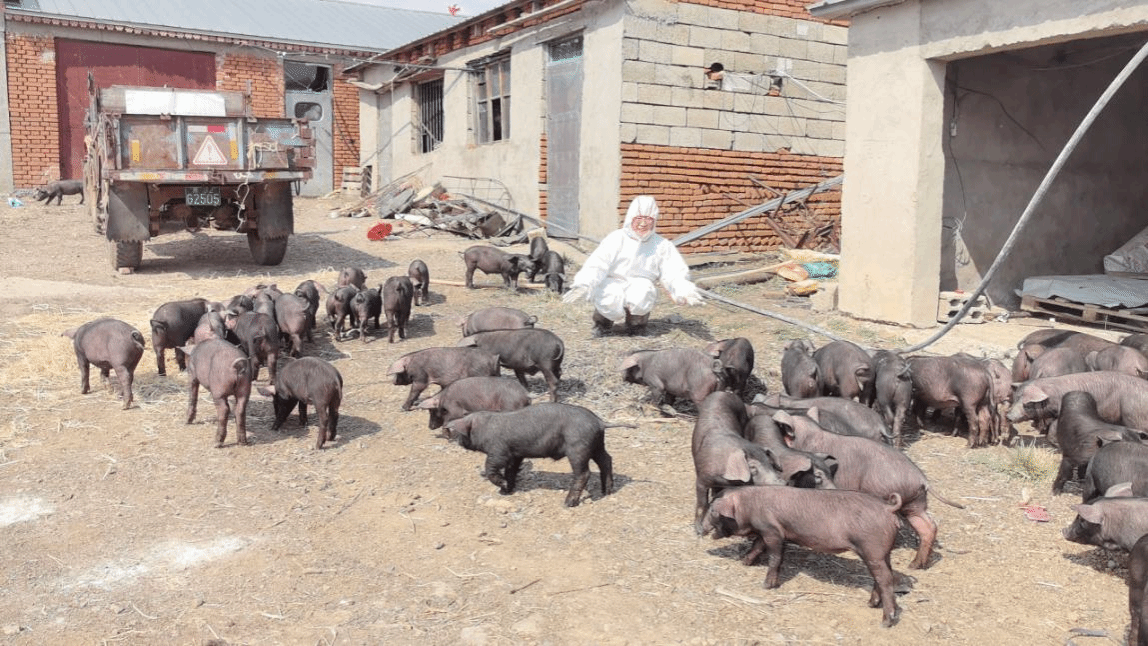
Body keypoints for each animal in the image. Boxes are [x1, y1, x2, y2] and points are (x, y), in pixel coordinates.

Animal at [443, 402, 621, 507]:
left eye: (461, 432)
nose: (457, 441)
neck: (483, 427)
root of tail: (599, 421)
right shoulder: (516, 455)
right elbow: (511, 471)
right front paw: (506, 491)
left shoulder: (498, 451)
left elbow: (491, 468)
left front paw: (502, 486)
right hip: (597, 445)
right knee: (606, 460)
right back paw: (607, 492)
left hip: (578, 448)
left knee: (584, 473)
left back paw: (568, 503)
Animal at [691, 391, 787, 532]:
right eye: (752, 468)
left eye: (770, 464)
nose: (782, 482)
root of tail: (723, 393)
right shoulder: (702, 479)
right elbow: (701, 503)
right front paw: (699, 531)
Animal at [701, 485, 907, 627]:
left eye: (712, 511)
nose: (698, 528)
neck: (748, 506)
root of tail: (887, 508)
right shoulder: (764, 532)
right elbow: (757, 546)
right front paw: (745, 562)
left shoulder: (772, 531)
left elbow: (775, 557)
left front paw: (766, 586)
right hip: (883, 553)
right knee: (883, 576)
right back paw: (871, 604)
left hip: (872, 548)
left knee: (885, 579)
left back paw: (885, 622)